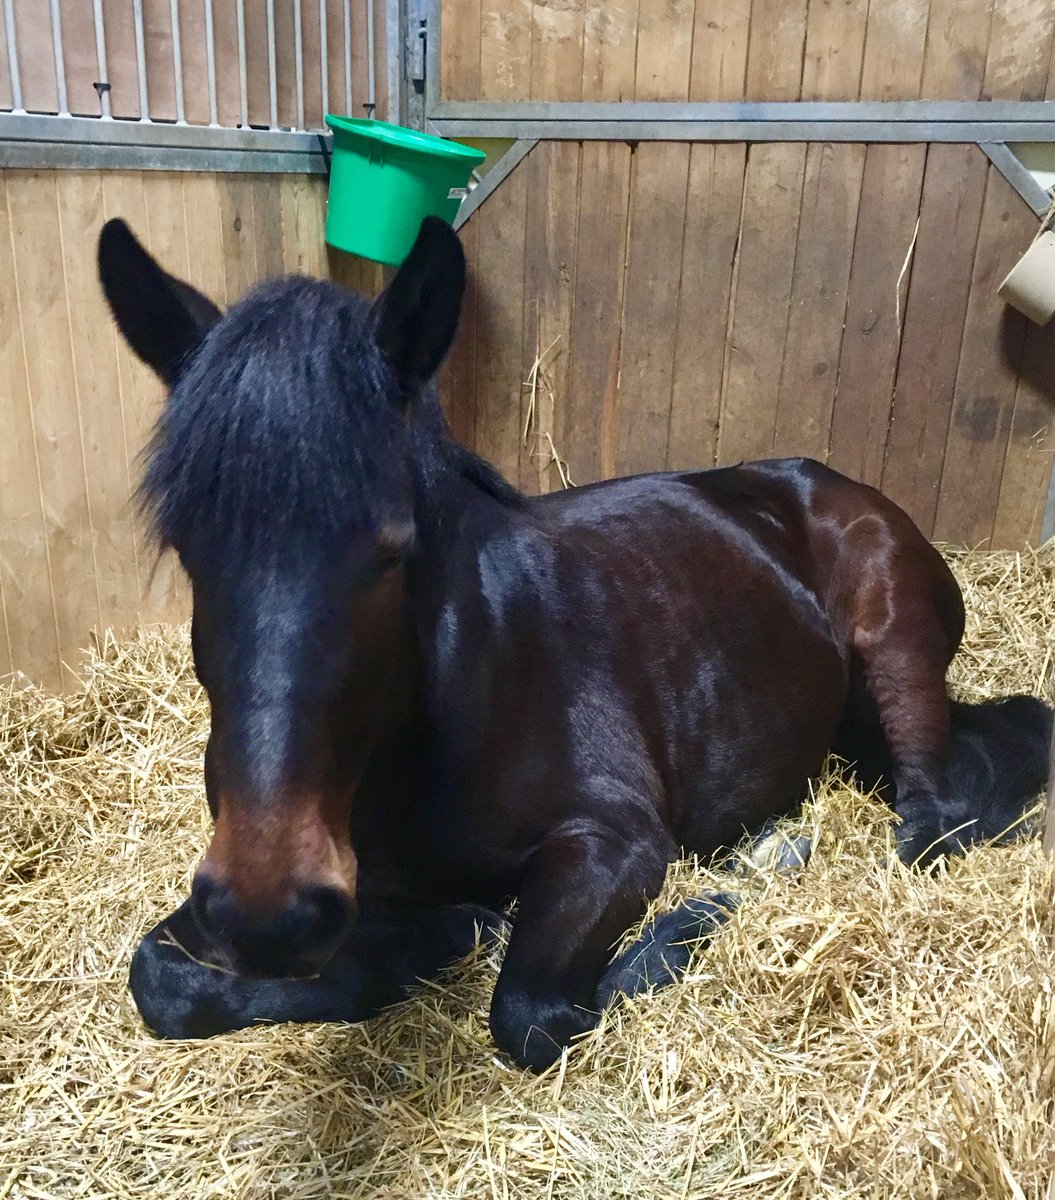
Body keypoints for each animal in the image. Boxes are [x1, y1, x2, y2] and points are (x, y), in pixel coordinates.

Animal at [98, 216, 1052, 1072]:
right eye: (187, 546)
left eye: (393, 548)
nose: (272, 915)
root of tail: (824, 482)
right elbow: (162, 980)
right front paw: (440, 932)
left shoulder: (613, 840)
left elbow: (529, 1014)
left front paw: (689, 925)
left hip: (895, 646)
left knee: (928, 821)